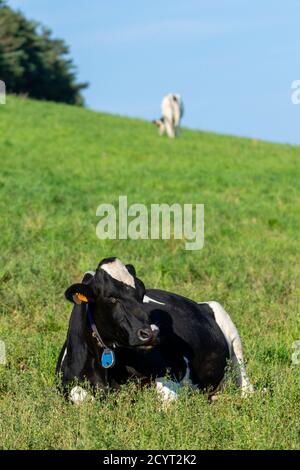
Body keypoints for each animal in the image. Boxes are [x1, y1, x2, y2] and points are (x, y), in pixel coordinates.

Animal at [56, 258, 253, 404]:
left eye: (142, 293)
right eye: (111, 298)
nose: (150, 333)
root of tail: (199, 304)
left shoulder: (168, 378)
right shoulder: (66, 384)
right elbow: (81, 397)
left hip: (228, 328)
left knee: (246, 386)